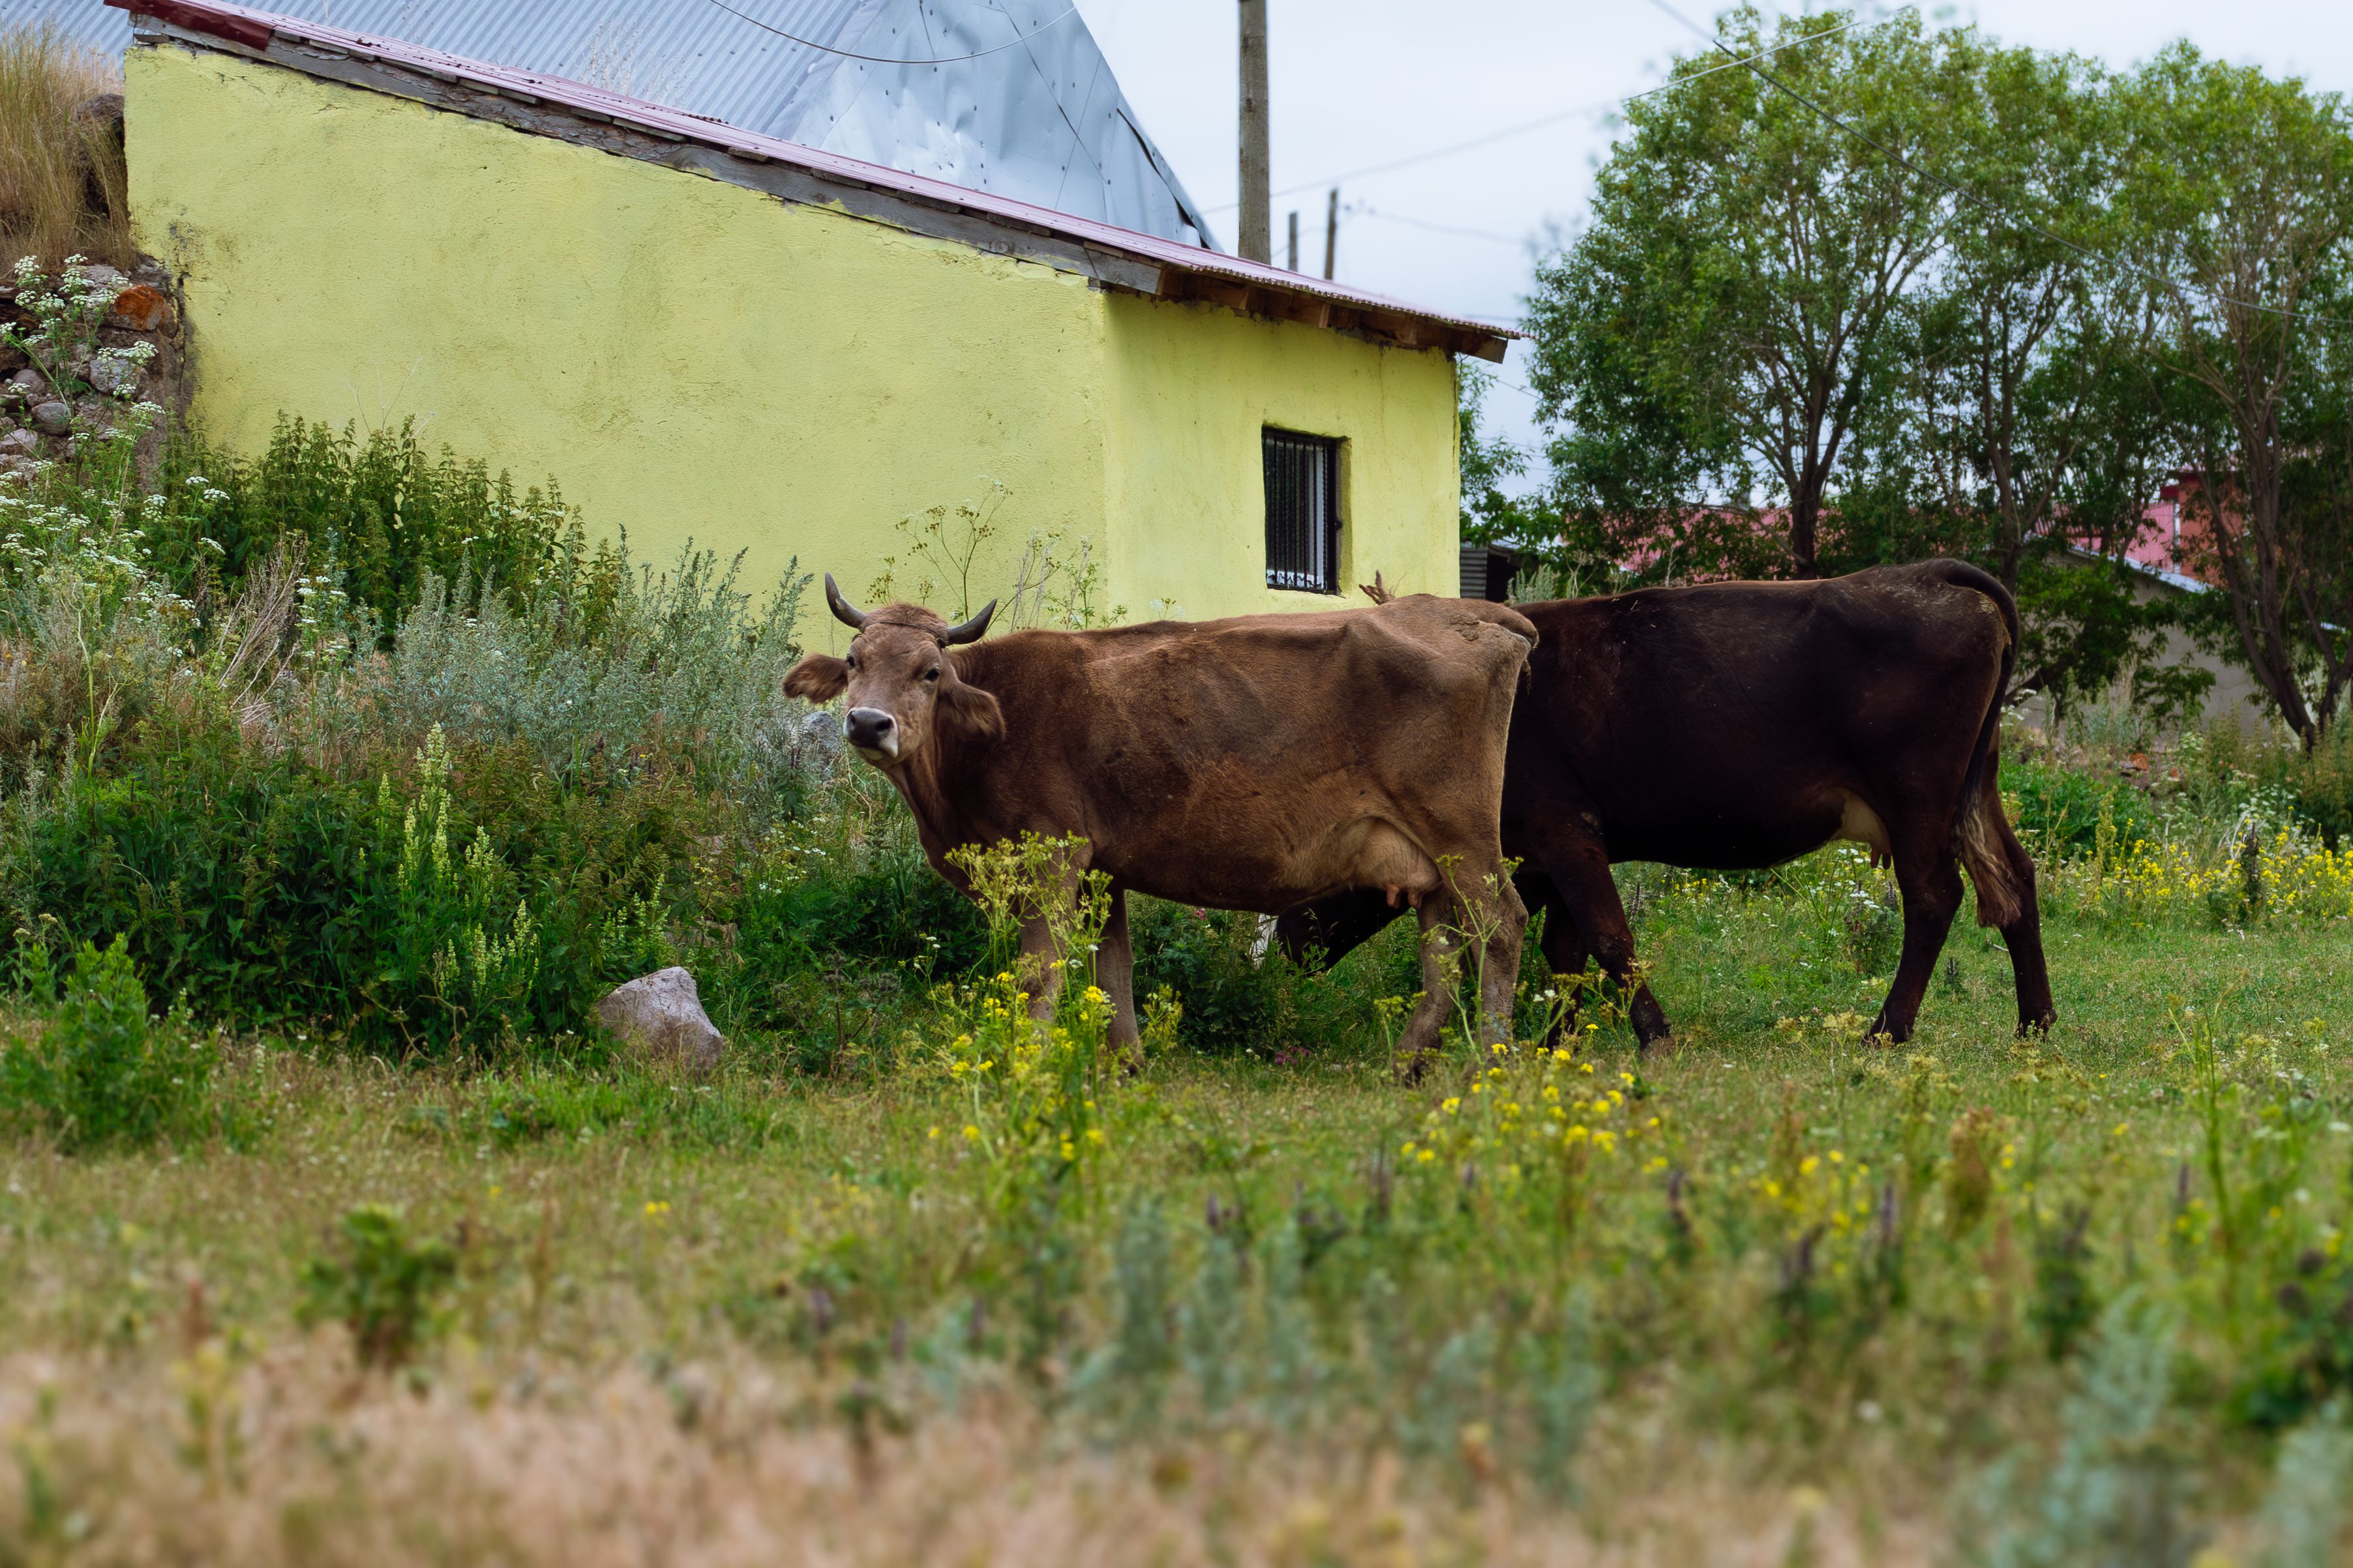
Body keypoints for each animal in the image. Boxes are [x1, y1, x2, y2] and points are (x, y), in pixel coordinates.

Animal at [781, 577, 1539, 1069]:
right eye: (853, 661)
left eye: (930, 671)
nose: (867, 722)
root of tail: (1470, 611)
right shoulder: (1103, 869)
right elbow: (1111, 968)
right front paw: (1129, 1065)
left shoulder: (1054, 855)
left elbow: (1042, 970)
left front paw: (1026, 1063)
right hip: (1429, 860)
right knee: (1442, 947)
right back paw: (1408, 1063)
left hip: (1464, 835)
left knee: (1501, 925)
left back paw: (1489, 1062)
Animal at [1279, 560, 2055, 1049]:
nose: (1285, 945)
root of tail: (1929, 573)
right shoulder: (1554, 847)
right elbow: (1565, 949)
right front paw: (1558, 1039)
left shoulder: (1563, 828)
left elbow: (1606, 937)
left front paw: (1651, 1034)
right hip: (1972, 789)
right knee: (2014, 881)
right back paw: (2035, 1024)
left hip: (1915, 793)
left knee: (1933, 897)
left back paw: (1887, 1029)